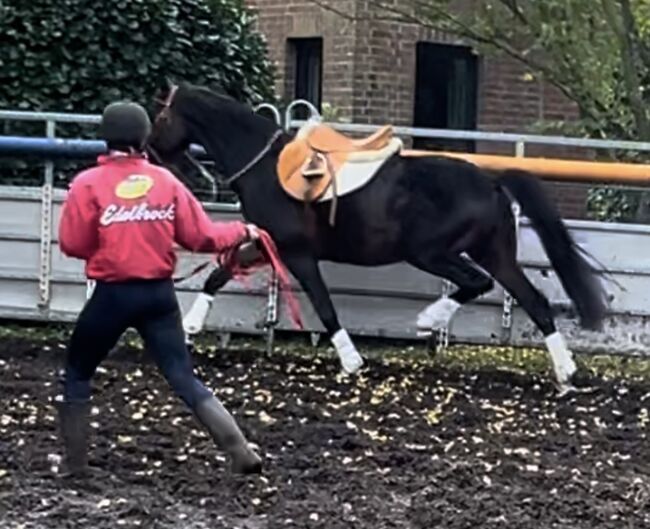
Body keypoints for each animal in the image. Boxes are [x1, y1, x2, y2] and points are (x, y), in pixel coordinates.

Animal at [147, 82, 608, 394]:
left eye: (162, 117)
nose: (150, 152)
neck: (267, 166)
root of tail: (492, 181)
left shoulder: (297, 252)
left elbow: (324, 305)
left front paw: (351, 360)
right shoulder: (267, 242)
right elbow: (219, 273)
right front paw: (190, 327)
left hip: (431, 252)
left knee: (477, 283)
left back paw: (430, 319)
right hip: (493, 252)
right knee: (534, 301)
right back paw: (565, 372)